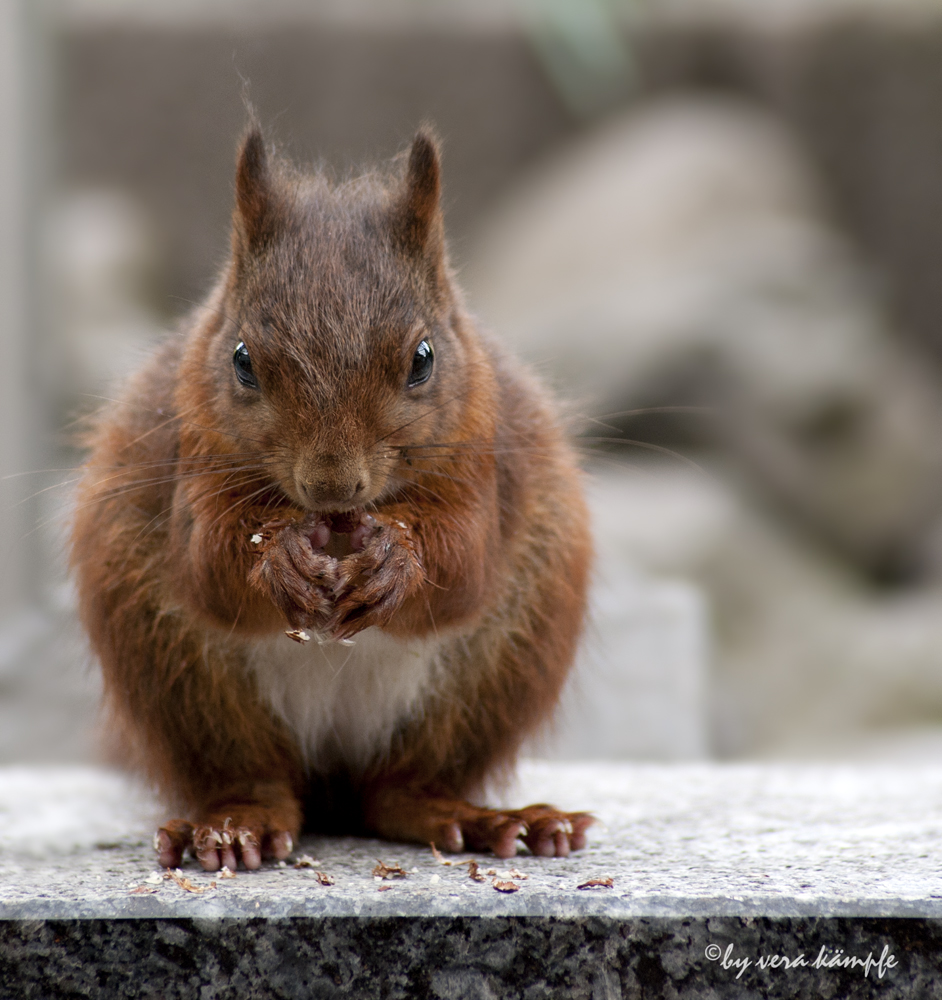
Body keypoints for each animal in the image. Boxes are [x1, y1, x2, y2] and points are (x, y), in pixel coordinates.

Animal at [70, 125, 592, 872]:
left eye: (424, 359)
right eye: (241, 360)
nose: (332, 486)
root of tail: (331, 778)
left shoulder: (483, 461)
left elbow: (465, 563)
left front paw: (398, 561)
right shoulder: (188, 451)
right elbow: (207, 564)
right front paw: (279, 559)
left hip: (500, 667)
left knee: (401, 791)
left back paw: (482, 819)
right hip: (176, 674)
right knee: (255, 778)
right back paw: (234, 825)